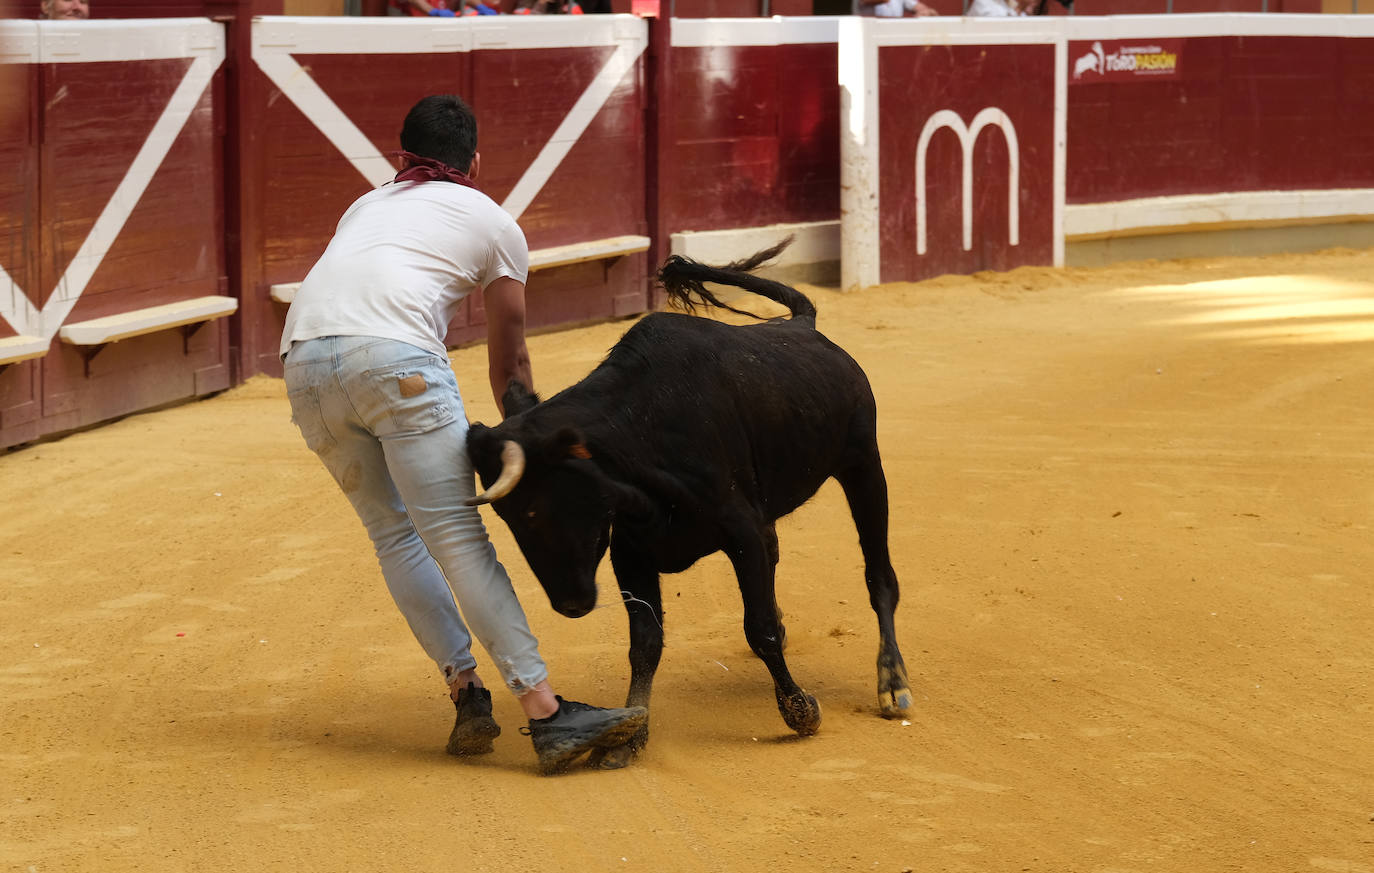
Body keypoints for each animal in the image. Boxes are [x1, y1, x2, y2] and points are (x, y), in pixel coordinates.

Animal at [464, 241, 912, 769]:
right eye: (505, 516)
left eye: (533, 509)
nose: (571, 605)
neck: (642, 433)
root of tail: (804, 326)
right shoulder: (632, 551)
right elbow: (645, 643)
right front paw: (629, 736)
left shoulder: (740, 531)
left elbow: (758, 627)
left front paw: (800, 711)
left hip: (864, 464)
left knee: (879, 576)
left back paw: (893, 683)